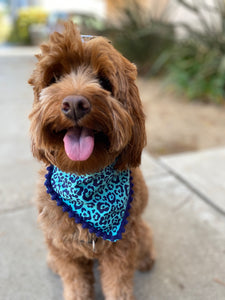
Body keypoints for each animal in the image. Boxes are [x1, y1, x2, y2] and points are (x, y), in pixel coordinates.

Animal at [28, 21, 155, 300]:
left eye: (105, 81)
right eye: (55, 77)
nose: (75, 104)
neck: (85, 176)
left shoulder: (120, 248)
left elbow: (117, 285)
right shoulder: (64, 248)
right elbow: (76, 283)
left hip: (137, 230)